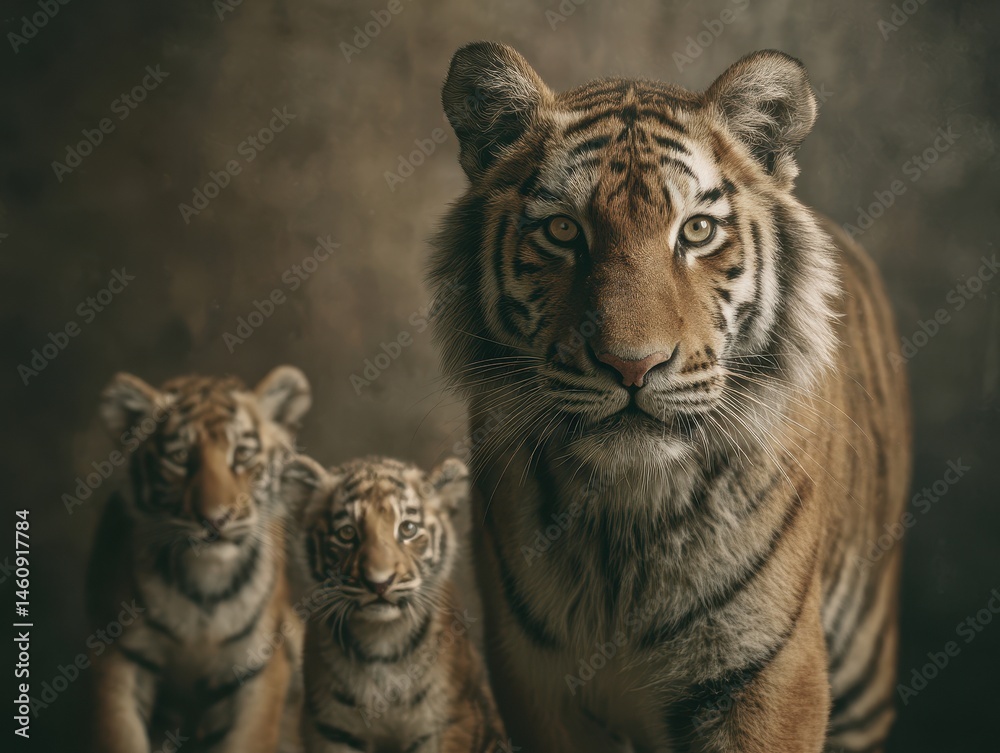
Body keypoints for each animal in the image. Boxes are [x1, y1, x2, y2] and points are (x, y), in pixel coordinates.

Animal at [86, 366, 312, 753]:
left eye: (242, 454)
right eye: (179, 457)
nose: (215, 519)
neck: (205, 582)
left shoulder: (256, 668)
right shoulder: (118, 658)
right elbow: (120, 737)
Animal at [280, 454, 508, 753]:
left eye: (408, 528)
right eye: (346, 533)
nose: (380, 582)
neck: (381, 639)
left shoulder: (446, 723)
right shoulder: (332, 729)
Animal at [427, 43, 912, 753]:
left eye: (698, 230)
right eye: (563, 230)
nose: (633, 365)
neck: (624, 520)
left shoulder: (766, 674)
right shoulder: (538, 686)